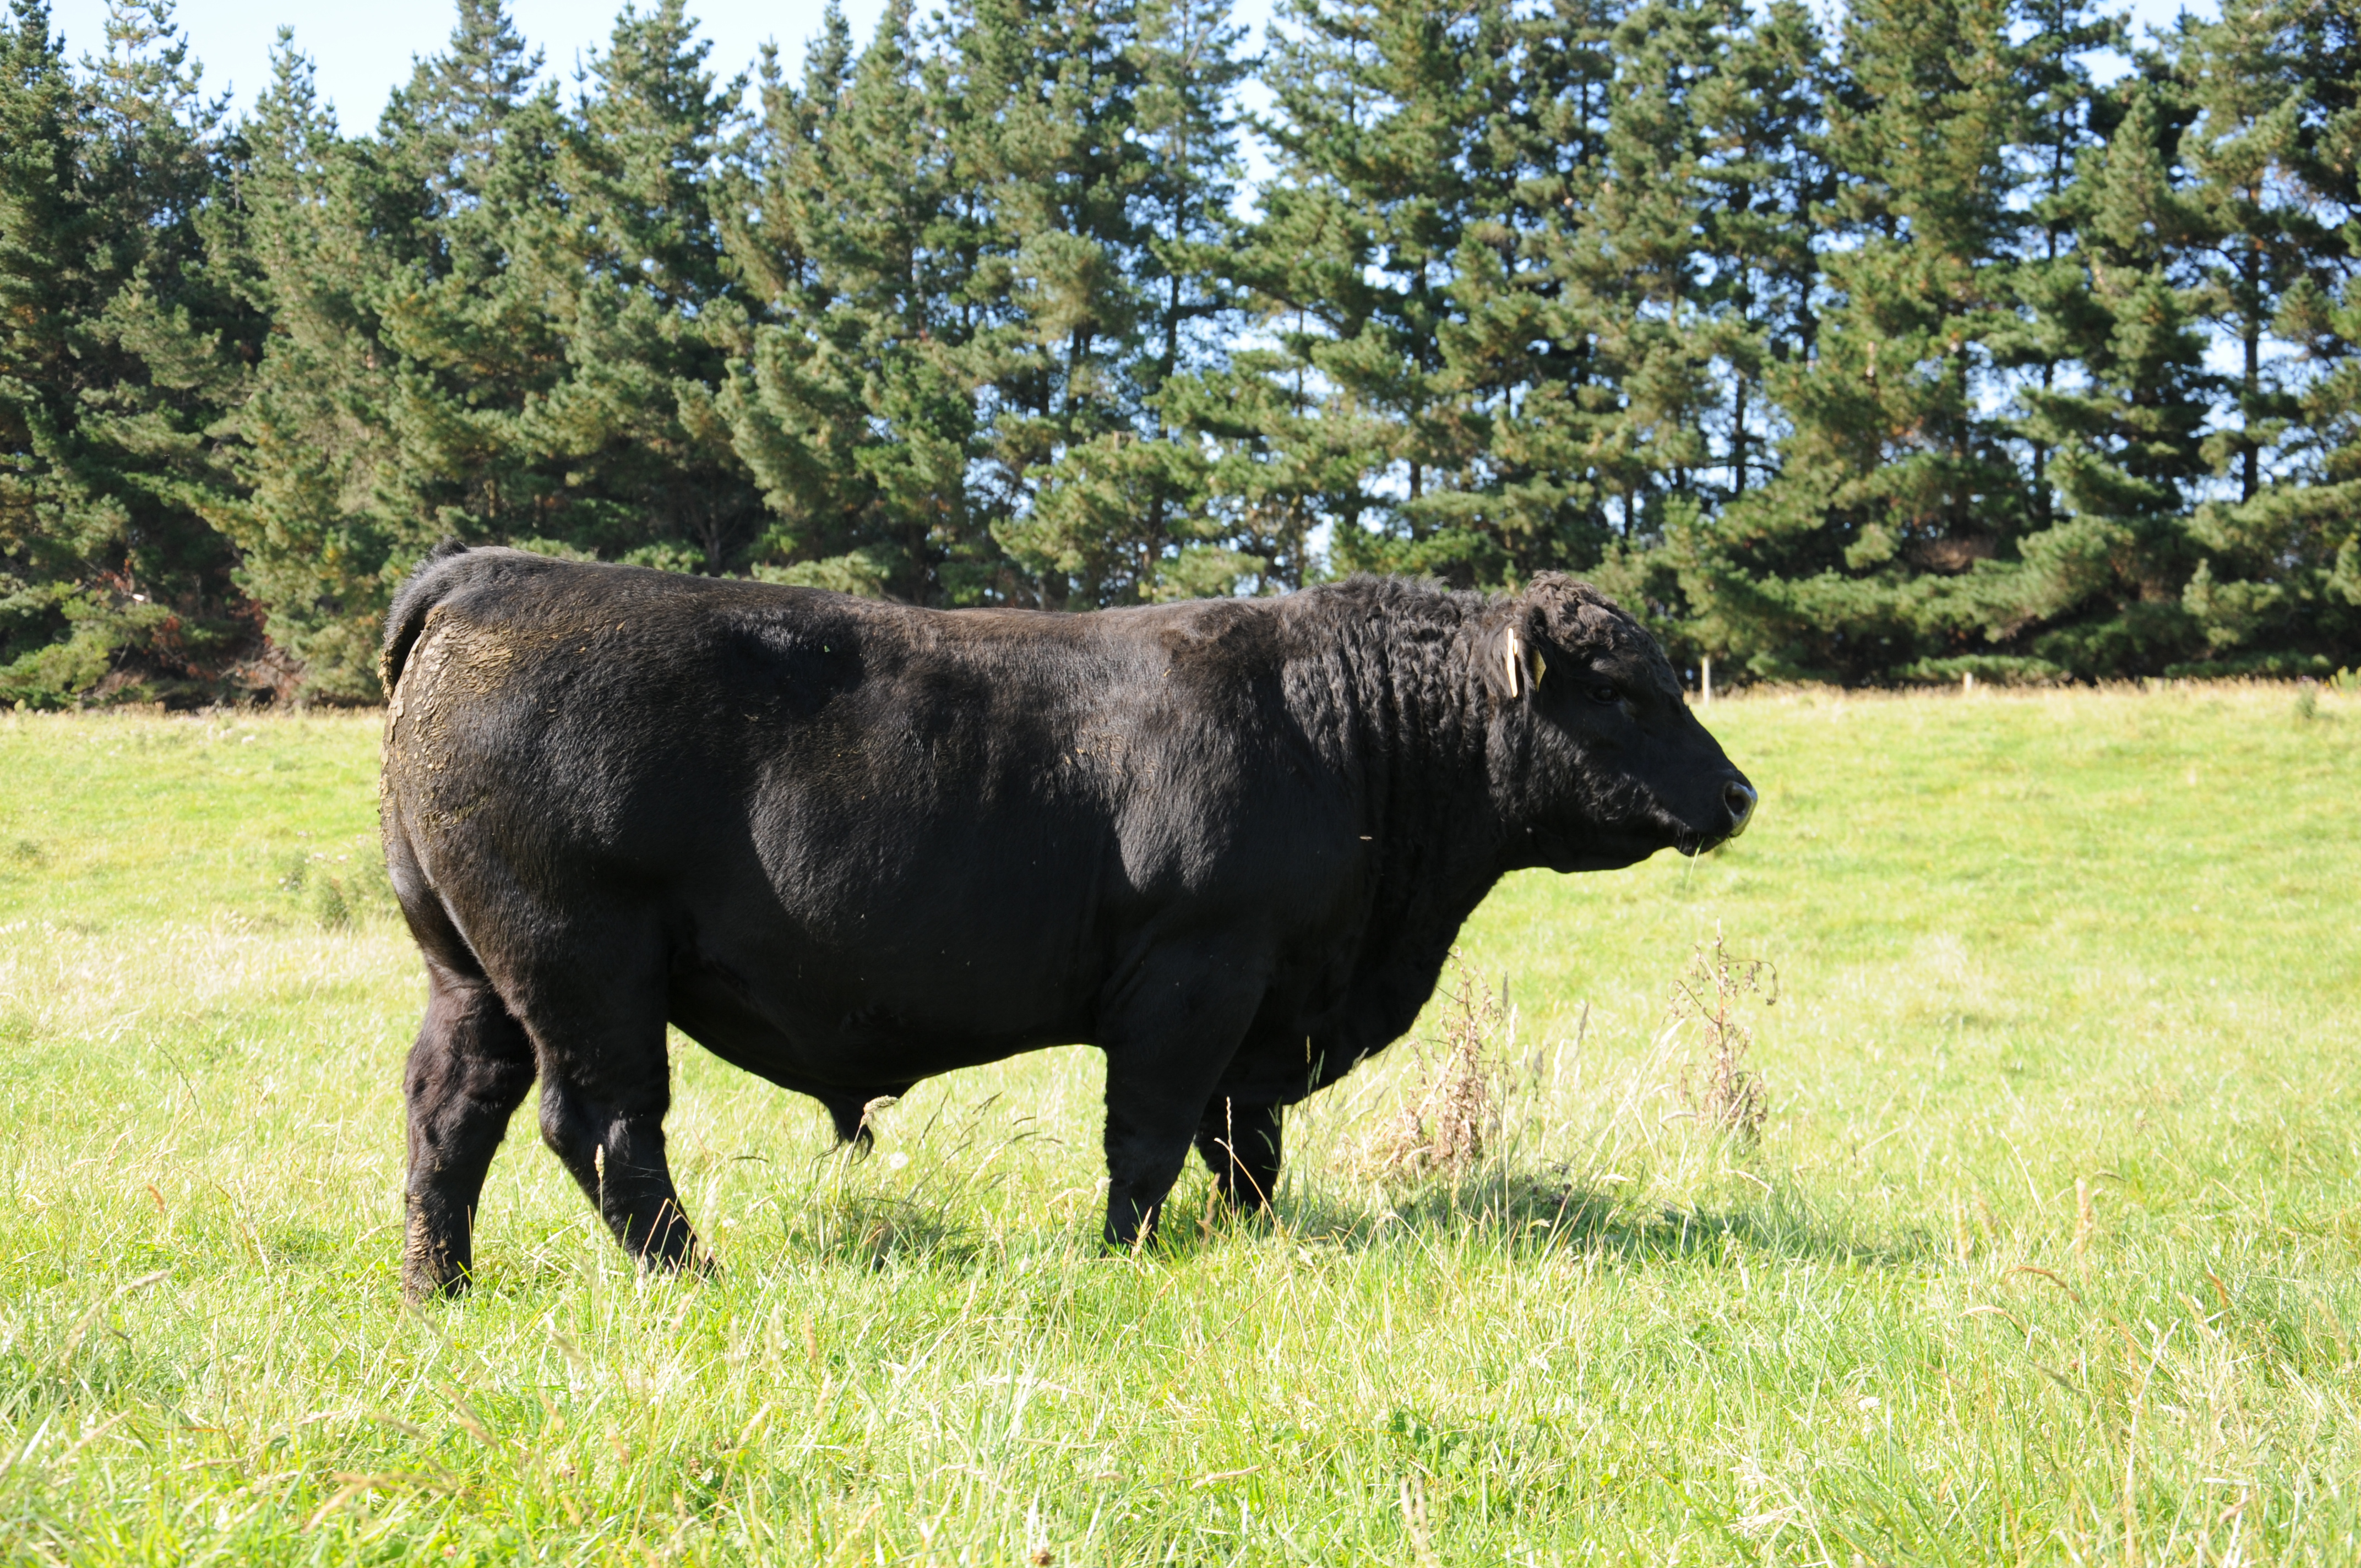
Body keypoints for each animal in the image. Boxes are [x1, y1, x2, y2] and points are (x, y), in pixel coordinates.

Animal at [379, 546, 1755, 1297]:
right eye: (1621, 688)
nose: (1738, 794)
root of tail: (488, 572)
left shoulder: (1262, 1007)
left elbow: (1245, 1147)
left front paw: (1246, 1237)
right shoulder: (1197, 970)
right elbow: (1148, 1137)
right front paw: (1123, 1255)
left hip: (471, 973)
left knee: (452, 1113)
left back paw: (440, 1287)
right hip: (584, 965)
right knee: (604, 1128)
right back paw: (692, 1275)